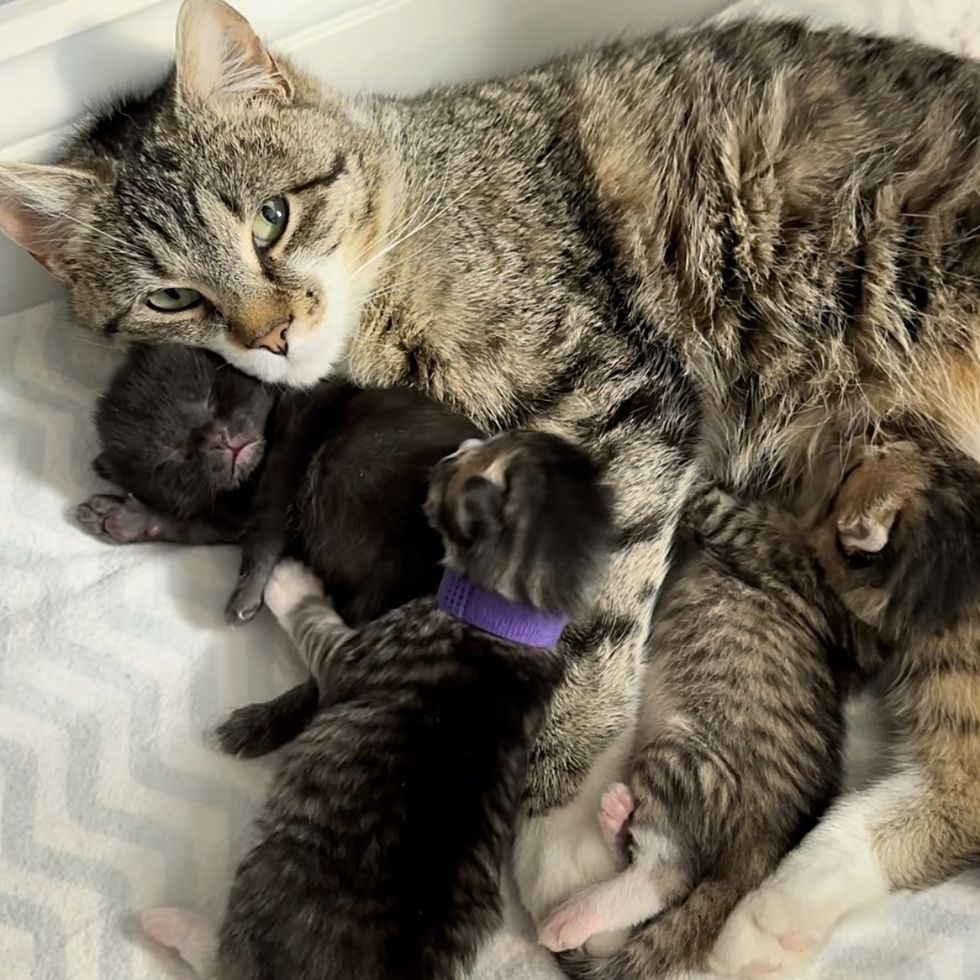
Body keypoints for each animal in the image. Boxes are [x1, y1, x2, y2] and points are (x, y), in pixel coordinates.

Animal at [140, 430, 612, 980]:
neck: (512, 621)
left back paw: (171, 925)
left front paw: (289, 581)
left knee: (223, 959)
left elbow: (314, 623)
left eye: (458, 465)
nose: (458, 444)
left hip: (260, 885)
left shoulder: (354, 654)